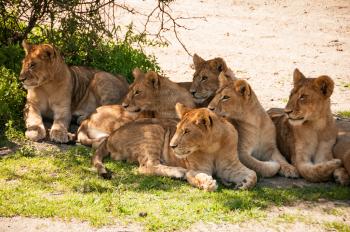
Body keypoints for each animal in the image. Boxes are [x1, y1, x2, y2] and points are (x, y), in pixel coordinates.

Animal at [92, 104, 258, 190]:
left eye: (186, 131)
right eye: (177, 129)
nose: (172, 146)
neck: (213, 147)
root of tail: (110, 136)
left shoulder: (230, 166)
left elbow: (253, 174)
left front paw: (244, 184)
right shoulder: (197, 169)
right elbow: (197, 176)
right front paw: (208, 183)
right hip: (154, 129)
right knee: (146, 167)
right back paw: (178, 172)